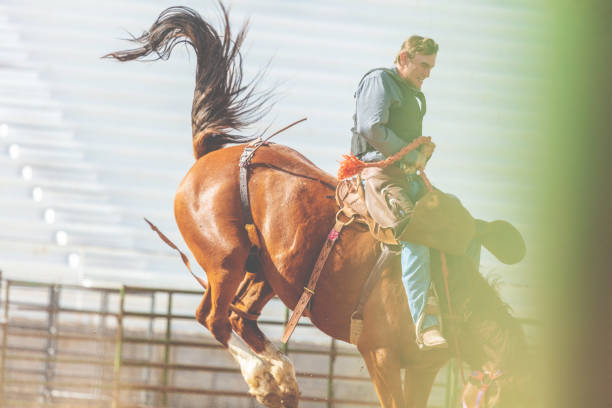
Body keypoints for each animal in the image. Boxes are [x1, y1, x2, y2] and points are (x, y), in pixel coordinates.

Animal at [107, 3, 532, 408]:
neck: (449, 290)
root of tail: (210, 154)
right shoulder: (380, 354)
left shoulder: (423, 369)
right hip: (225, 258)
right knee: (214, 318)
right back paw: (263, 379)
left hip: (264, 269)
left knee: (241, 316)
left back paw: (283, 379)